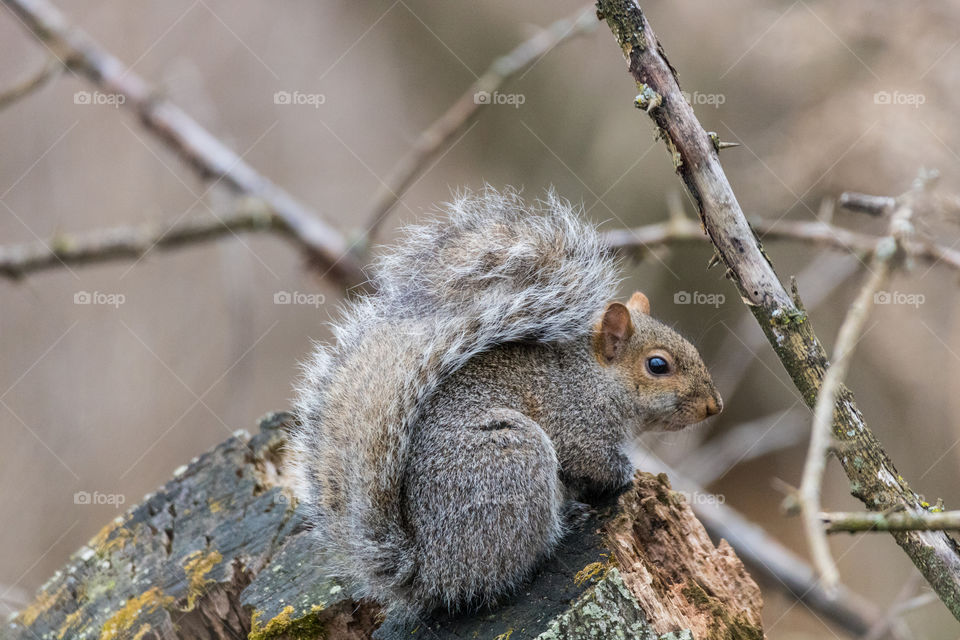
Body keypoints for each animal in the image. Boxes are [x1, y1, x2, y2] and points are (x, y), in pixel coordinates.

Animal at [288, 187, 722, 620]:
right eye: (657, 365)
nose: (714, 406)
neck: (594, 378)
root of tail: (430, 571)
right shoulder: (577, 424)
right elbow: (595, 461)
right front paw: (628, 474)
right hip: (515, 462)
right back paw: (565, 522)